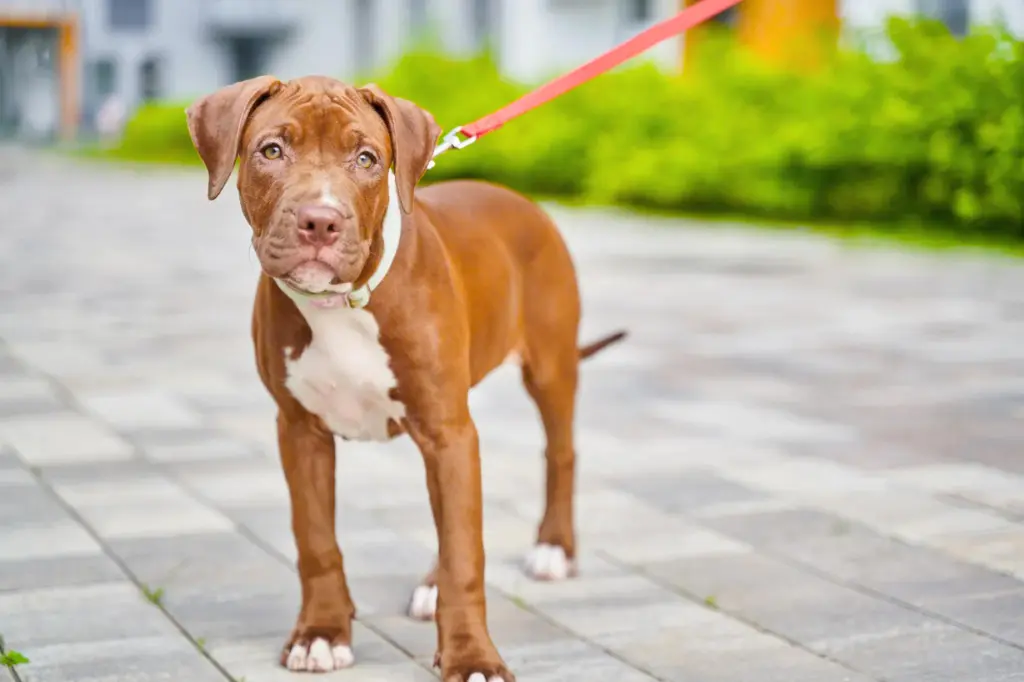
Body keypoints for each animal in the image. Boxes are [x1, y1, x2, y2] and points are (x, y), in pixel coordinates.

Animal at [188, 76, 626, 675]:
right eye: (272, 150)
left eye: (366, 158)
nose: (320, 221)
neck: (341, 304)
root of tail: (517, 199)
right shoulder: (300, 430)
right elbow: (316, 539)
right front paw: (321, 632)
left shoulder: (447, 431)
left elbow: (465, 552)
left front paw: (472, 657)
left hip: (549, 366)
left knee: (559, 454)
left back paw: (553, 548)